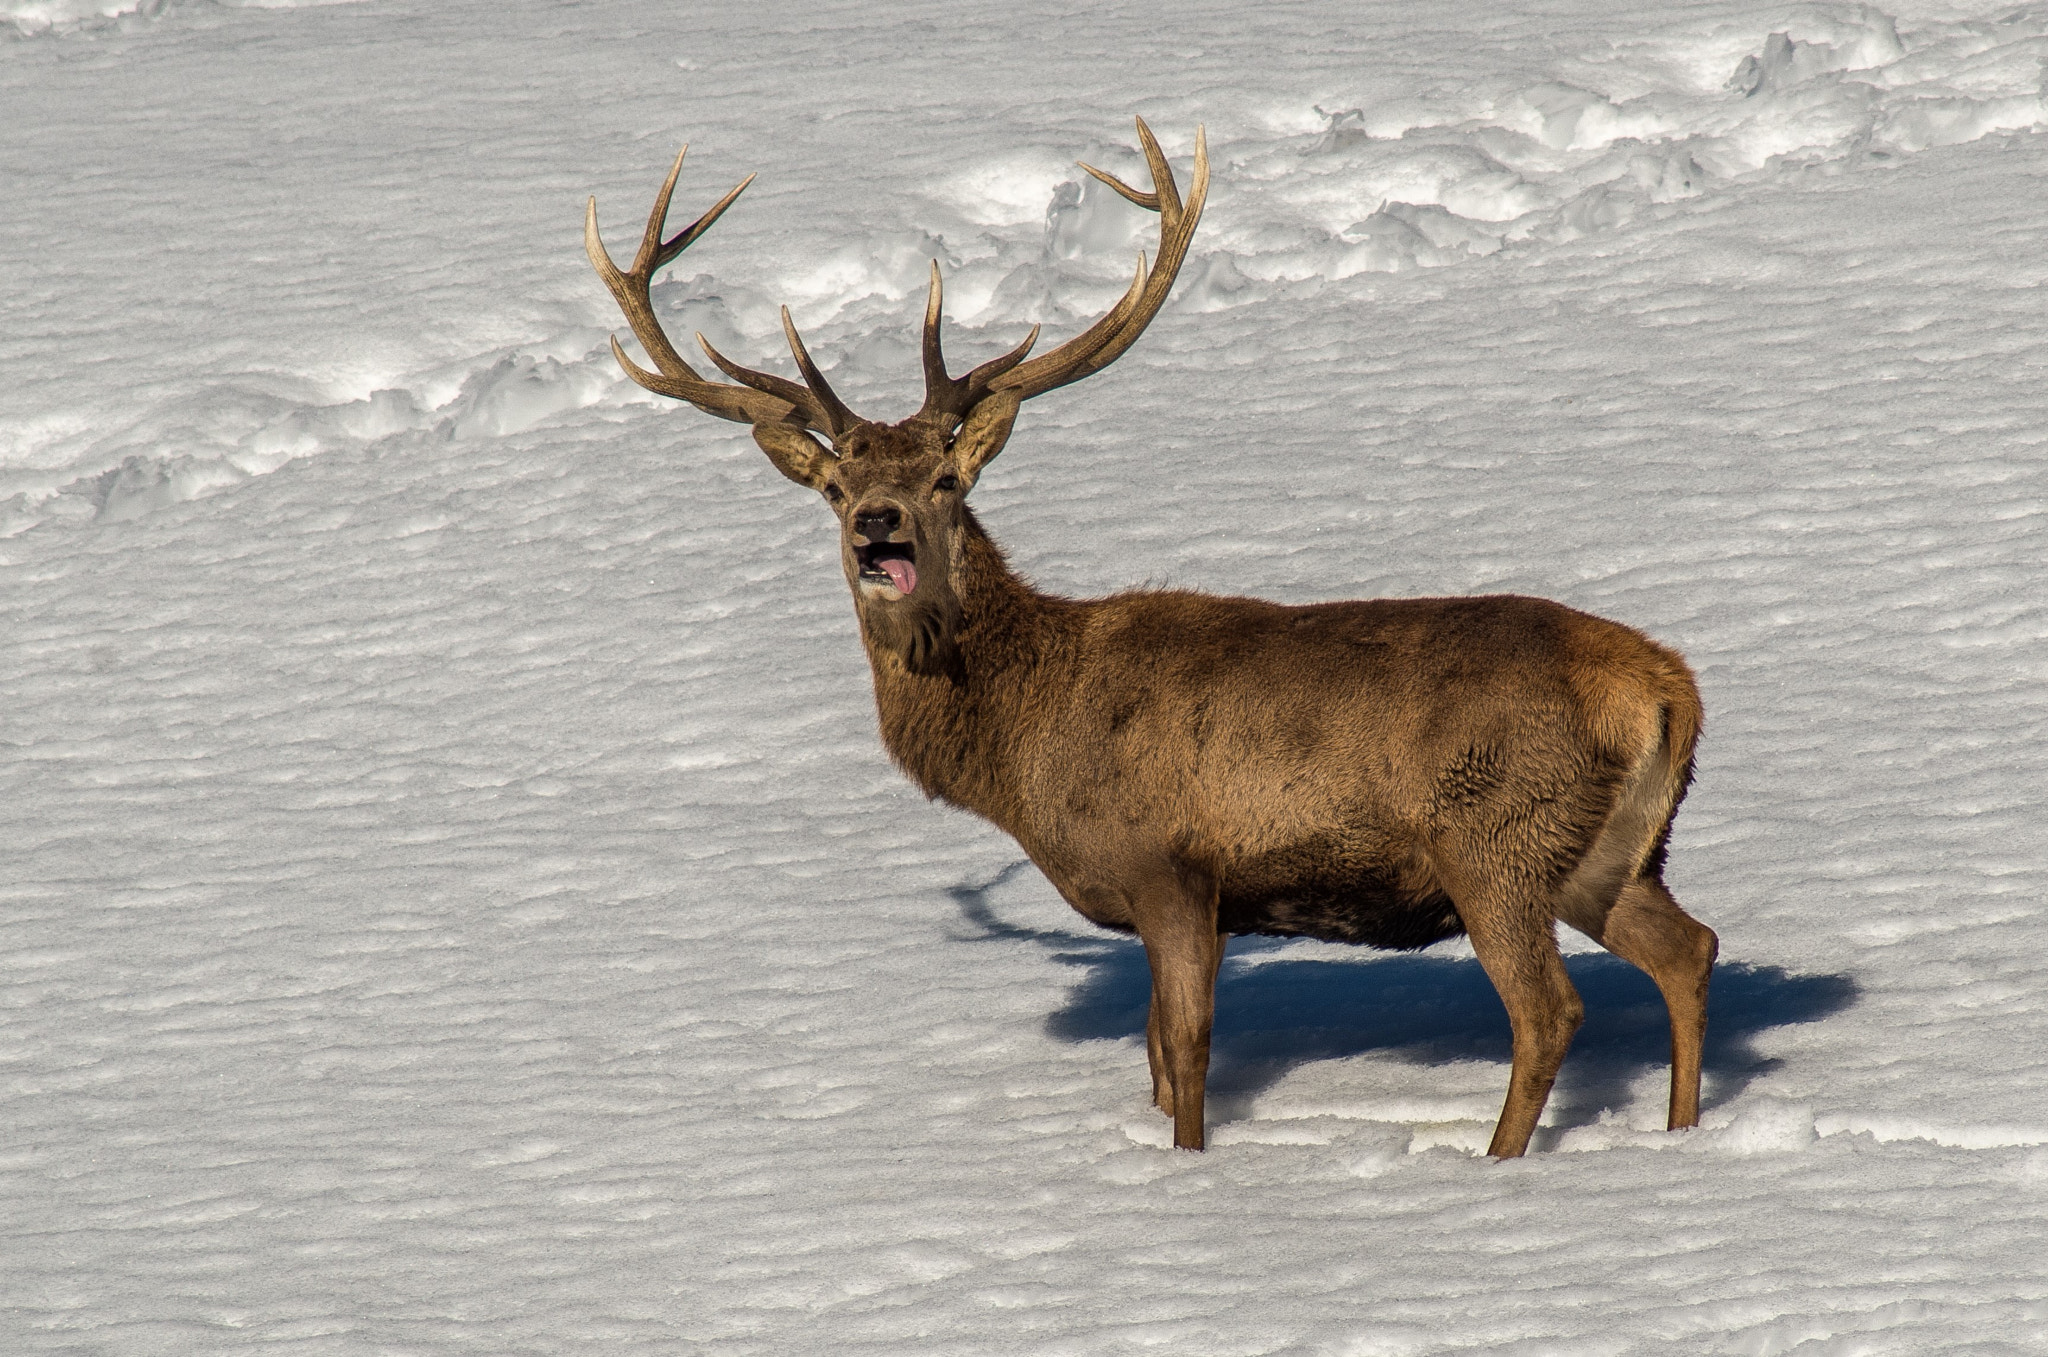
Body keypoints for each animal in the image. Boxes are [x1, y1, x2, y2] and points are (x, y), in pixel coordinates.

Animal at [585, 120, 1718, 1156]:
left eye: (945, 479)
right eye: (832, 487)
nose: (878, 525)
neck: (1025, 741)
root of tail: (1669, 689)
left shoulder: (1172, 861)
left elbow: (1186, 1048)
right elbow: (1153, 1054)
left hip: (1494, 838)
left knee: (1549, 1011)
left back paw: (1496, 1163)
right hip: (1609, 852)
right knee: (1689, 948)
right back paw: (1679, 1135)